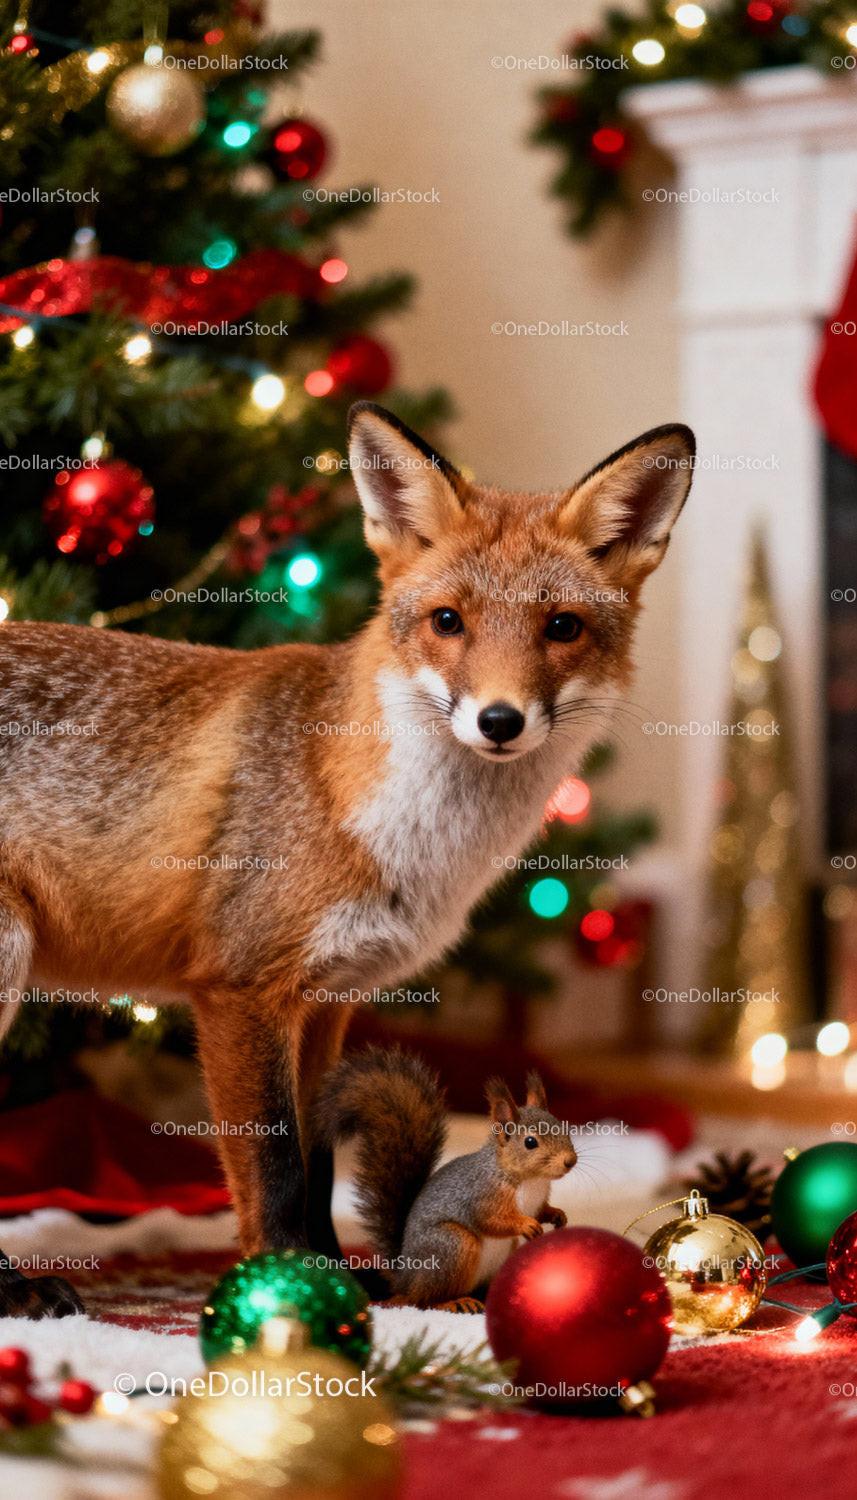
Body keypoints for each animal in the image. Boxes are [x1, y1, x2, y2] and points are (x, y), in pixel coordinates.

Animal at [315, 1046, 577, 1312]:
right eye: (530, 1142)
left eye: (565, 1129)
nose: (570, 1161)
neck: (530, 1180)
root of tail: (406, 1280)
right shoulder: (482, 1194)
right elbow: (490, 1220)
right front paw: (525, 1225)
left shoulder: (537, 1200)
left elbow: (541, 1211)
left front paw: (557, 1215)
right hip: (453, 1245)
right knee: (424, 1300)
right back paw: (454, 1301)